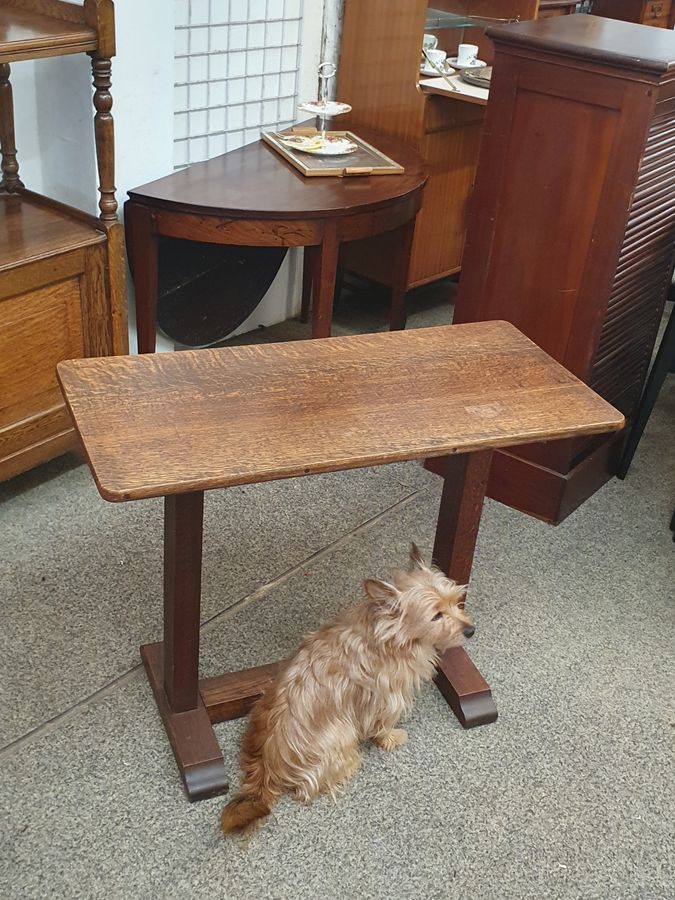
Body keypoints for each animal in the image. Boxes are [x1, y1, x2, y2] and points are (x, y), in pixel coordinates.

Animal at [219, 540, 472, 836]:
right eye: (436, 616)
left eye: (455, 602)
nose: (470, 630)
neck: (389, 636)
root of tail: (266, 766)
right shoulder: (387, 696)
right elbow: (383, 723)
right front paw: (390, 738)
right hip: (340, 735)